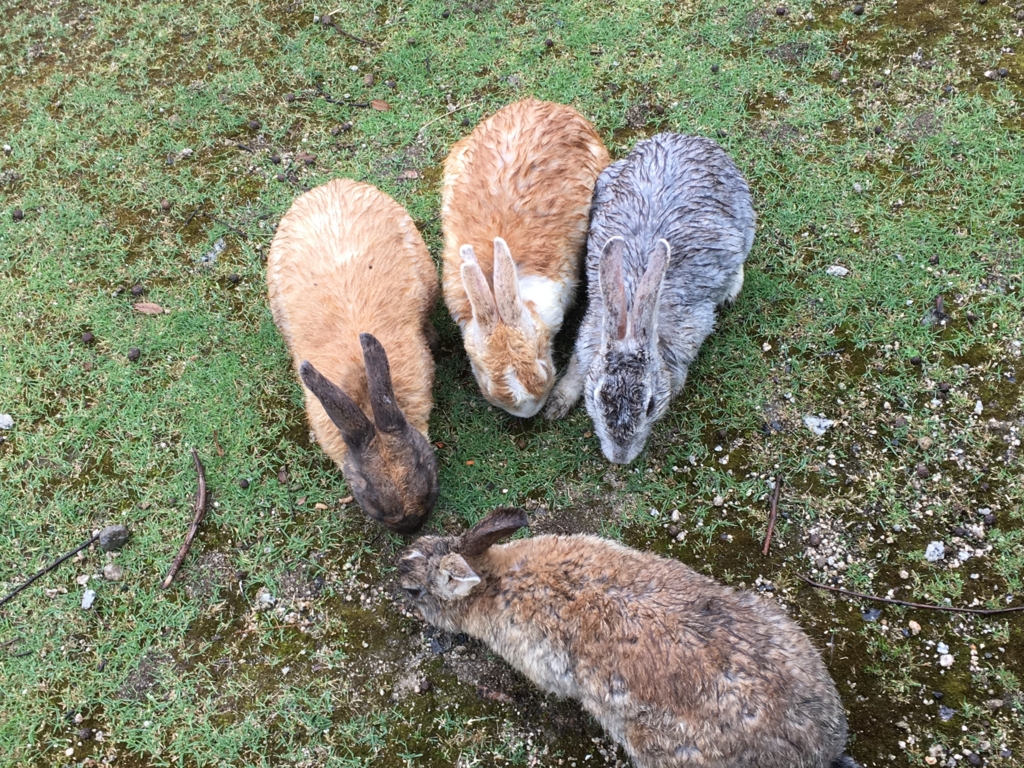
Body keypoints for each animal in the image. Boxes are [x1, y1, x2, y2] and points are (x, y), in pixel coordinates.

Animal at [548, 132, 757, 462]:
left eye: (650, 405)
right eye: (597, 398)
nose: (620, 458)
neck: (633, 317)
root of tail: (690, 139)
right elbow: (577, 370)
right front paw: (556, 404)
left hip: (744, 224)